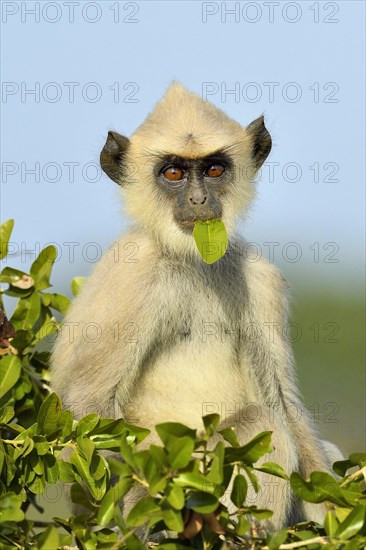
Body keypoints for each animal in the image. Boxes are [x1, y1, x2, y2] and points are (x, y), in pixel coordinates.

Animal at [50, 83, 342, 536]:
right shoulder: (136, 273)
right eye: (173, 173)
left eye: (214, 170)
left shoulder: (258, 279)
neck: (190, 260)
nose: (199, 198)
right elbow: (86, 404)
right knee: (261, 422)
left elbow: (283, 403)